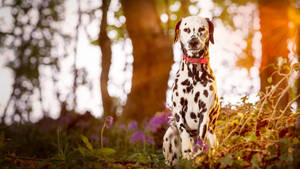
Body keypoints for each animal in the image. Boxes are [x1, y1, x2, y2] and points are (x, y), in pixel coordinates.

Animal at [163, 16, 219, 166]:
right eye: (186, 29)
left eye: (202, 29)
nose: (193, 41)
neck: (194, 74)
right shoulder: (178, 111)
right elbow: (184, 134)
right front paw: (188, 152)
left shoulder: (204, 113)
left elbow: (200, 139)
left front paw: (198, 154)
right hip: (169, 133)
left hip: (213, 137)